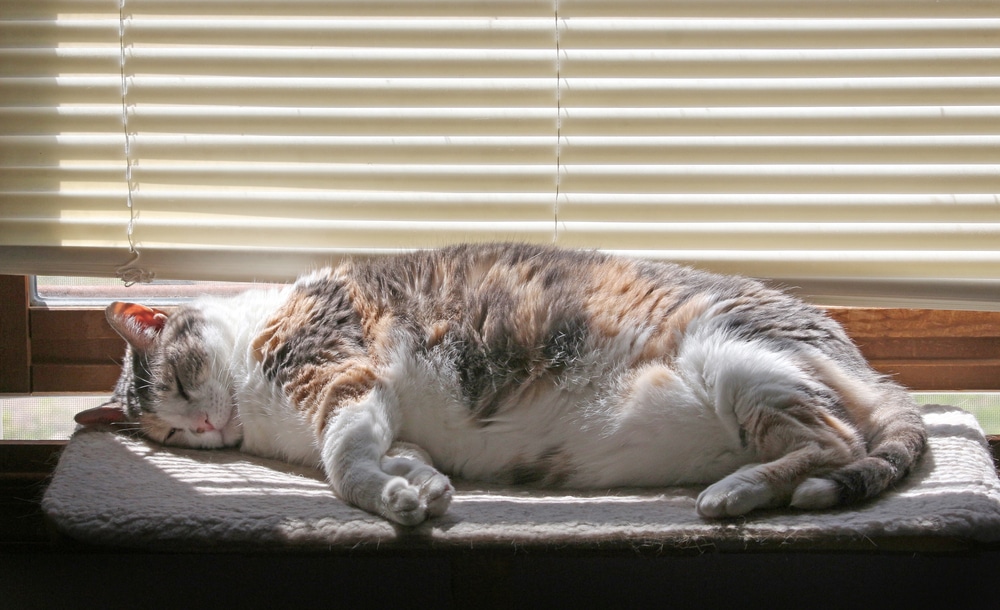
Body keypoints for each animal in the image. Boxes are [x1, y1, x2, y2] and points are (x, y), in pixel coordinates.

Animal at [78, 241, 928, 524]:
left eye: (178, 382)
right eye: (166, 433)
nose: (203, 432)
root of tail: (858, 352)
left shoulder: (341, 373)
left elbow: (345, 466)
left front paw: (391, 501)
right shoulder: (387, 416)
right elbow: (399, 456)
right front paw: (421, 489)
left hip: (740, 363)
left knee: (833, 443)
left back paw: (735, 493)